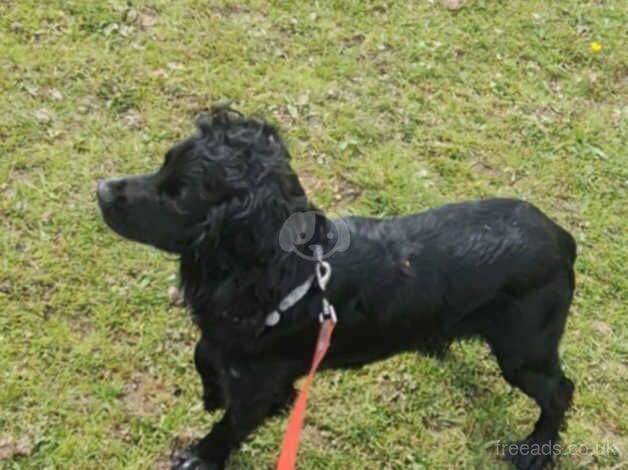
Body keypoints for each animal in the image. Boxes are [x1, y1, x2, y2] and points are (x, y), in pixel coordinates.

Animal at [97, 107, 576, 470]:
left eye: (178, 197)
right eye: (164, 162)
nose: (101, 189)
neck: (287, 274)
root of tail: (563, 239)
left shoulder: (263, 383)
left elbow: (231, 423)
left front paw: (200, 456)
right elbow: (206, 354)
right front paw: (212, 391)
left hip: (523, 351)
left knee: (560, 391)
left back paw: (536, 450)